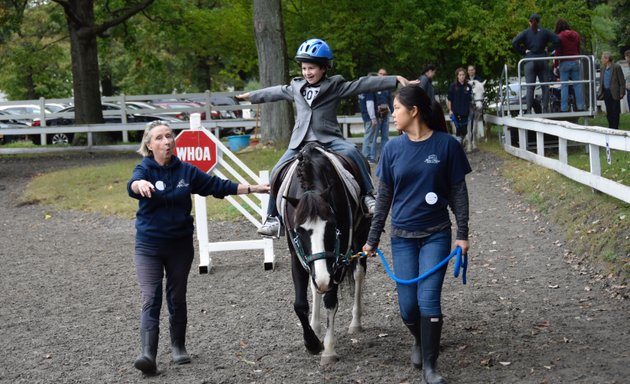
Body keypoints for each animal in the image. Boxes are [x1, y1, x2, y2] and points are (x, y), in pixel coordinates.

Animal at [276, 142, 372, 364]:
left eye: (332, 227)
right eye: (299, 231)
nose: (323, 279)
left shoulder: (338, 257)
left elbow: (330, 301)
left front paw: (328, 349)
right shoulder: (297, 256)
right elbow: (300, 304)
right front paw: (311, 342)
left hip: (361, 237)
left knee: (358, 274)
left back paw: (355, 322)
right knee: (315, 286)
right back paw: (316, 326)